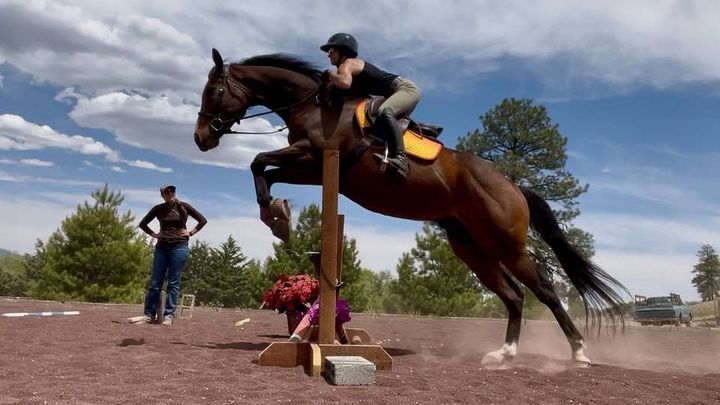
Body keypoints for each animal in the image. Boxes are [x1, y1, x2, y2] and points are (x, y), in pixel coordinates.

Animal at [193, 48, 629, 365]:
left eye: (213, 91)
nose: (200, 138)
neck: (314, 104)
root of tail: (514, 186)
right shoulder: (312, 170)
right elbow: (263, 169)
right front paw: (276, 216)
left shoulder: (314, 159)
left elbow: (258, 161)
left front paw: (276, 215)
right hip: (470, 246)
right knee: (515, 295)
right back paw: (504, 353)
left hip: (506, 243)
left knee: (546, 291)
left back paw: (579, 352)